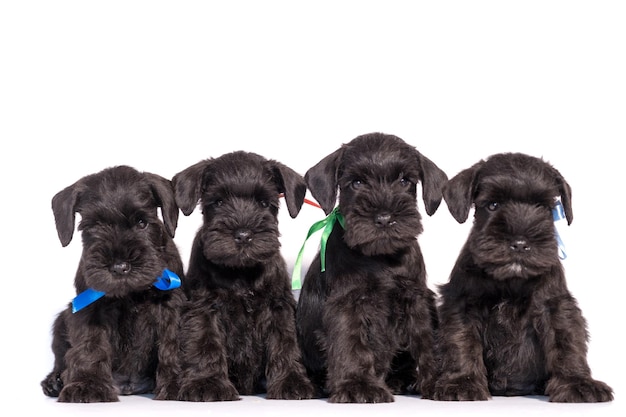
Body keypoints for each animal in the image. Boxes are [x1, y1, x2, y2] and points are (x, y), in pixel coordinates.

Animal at [39, 164, 184, 402]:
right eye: (94, 226)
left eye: (142, 222)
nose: (119, 267)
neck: (131, 293)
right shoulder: (90, 309)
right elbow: (90, 346)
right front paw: (87, 385)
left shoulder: (171, 308)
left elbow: (172, 344)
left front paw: (177, 384)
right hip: (62, 319)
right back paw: (55, 381)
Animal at [171, 150, 314, 400]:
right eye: (218, 202)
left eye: (264, 203)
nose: (243, 235)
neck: (242, 270)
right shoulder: (204, 308)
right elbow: (205, 342)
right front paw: (207, 383)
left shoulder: (278, 307)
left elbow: (285, 343)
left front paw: (291, 382)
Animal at [294, 132, 446, 402]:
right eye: (356, 183)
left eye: (405, 180)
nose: (384, 218)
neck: (381, 258)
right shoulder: (348, 303)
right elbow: (351, 343)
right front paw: (358, 385)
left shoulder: (416, 299)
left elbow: (426, 340)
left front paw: (439, 380)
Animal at [432, 151, 612, 402]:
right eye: (493, 205)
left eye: (543, 206)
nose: (520, 243)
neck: (510, 280)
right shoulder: (462, 305)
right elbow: (461, 342)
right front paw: (462, 382)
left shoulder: (555, 306)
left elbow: (567, 343)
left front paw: (577, 382)